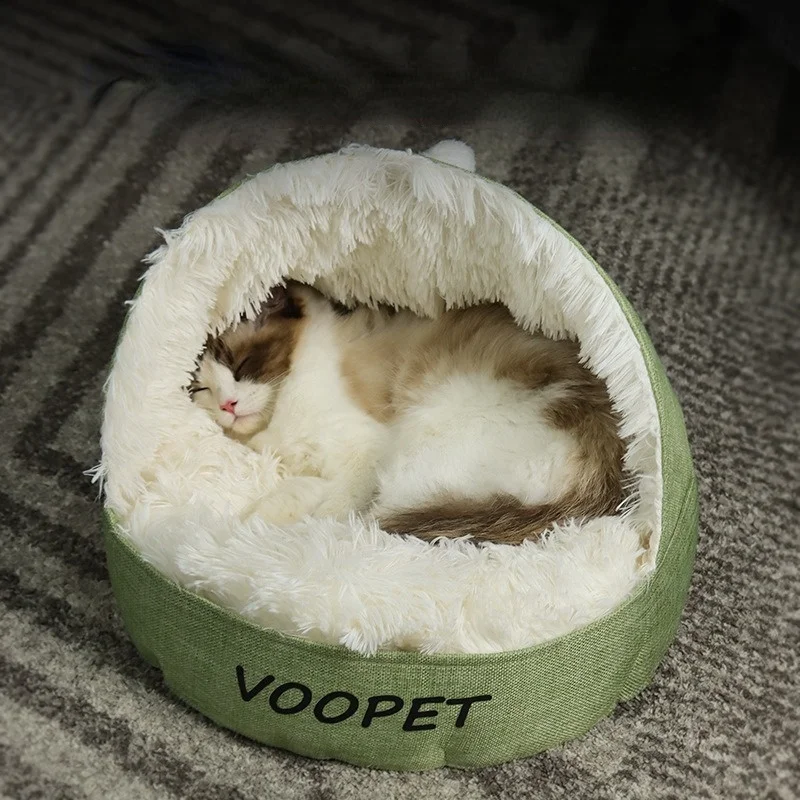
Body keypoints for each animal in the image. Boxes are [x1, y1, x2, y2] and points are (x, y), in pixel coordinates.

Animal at [191, 282, 625, 544]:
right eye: (202, 390)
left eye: (241, 365)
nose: (228, 405)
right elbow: (299, 493)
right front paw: (258, 523)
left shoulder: (362, 453)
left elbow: (336, 508)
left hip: (417, 452)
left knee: (371, 518)